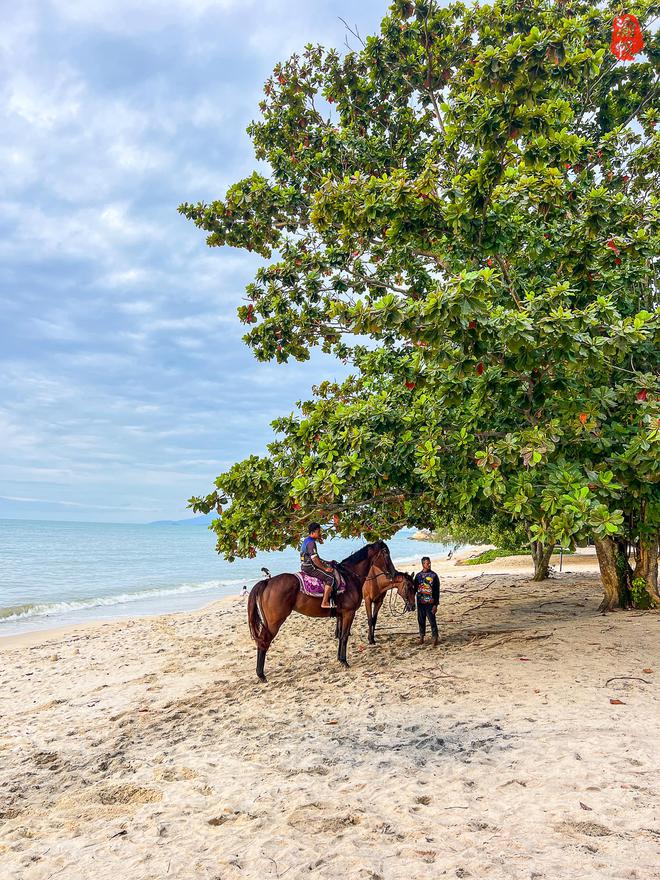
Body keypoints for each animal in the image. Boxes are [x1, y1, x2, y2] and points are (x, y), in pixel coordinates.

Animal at [245, 544, 394, 680]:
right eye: (386, 554)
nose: (392, 573)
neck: (350, 577)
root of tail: (267, 582)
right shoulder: (349, 613)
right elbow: (344, 636)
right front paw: (344, 661)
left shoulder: (341, 615)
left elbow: (341, 636)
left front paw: (339, 658)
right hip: (274, 622)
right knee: (263, 641)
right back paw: (261, 674)